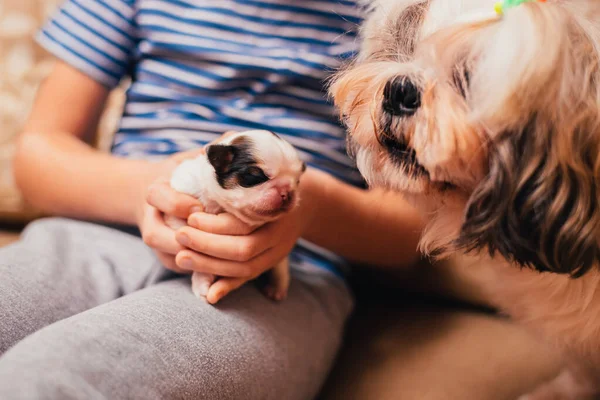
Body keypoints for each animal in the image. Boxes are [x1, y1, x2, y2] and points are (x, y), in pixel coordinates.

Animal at [166, 130, 304, 302]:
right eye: (256, 177)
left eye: (297, 181)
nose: (288, 192)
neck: (219, 204)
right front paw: (201, 282)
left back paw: (276, 288)